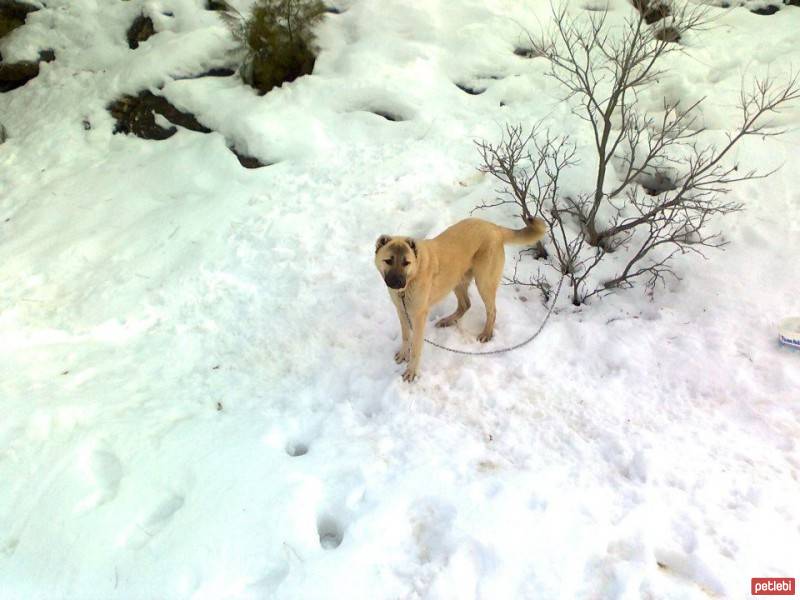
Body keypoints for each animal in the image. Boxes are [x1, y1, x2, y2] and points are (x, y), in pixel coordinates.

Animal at [374, 218, 548, 382]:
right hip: (457, 281)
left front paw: (411, 371)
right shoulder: (402, 311)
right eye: (388, 261)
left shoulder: (418, 317)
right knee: (465, 305)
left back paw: (486, 333)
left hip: (483, 283)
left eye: (406, 263)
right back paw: (448, 321)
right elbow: (405, 336)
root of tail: (494, 227)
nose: (397, 282)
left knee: (491, 310)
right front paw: (404, 354)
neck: (412, 276)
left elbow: (416, 347)